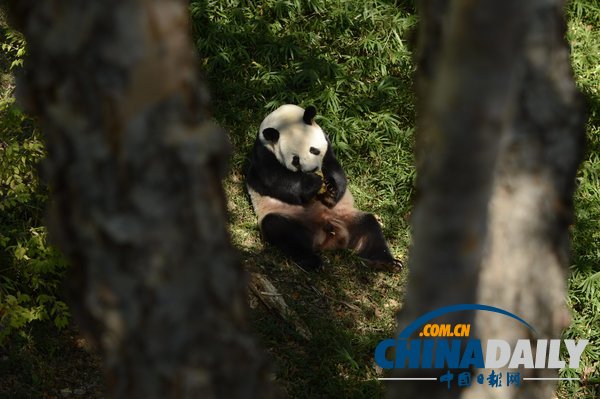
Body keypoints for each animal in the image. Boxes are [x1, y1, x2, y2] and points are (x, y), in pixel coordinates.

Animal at [246, 104, 400, 270]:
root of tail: (327, 235)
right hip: (290, 216)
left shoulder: (327, 143)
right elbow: (274, 179)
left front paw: (331, 191)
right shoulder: (262, 152)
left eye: (313, 149)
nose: (312, 169)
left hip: (347, 217)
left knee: (369, 228)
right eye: (295, 160)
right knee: (282, 230)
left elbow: (334, 167)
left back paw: (387, 262)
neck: (284, 119)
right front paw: (312, 183)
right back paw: (313, 261)